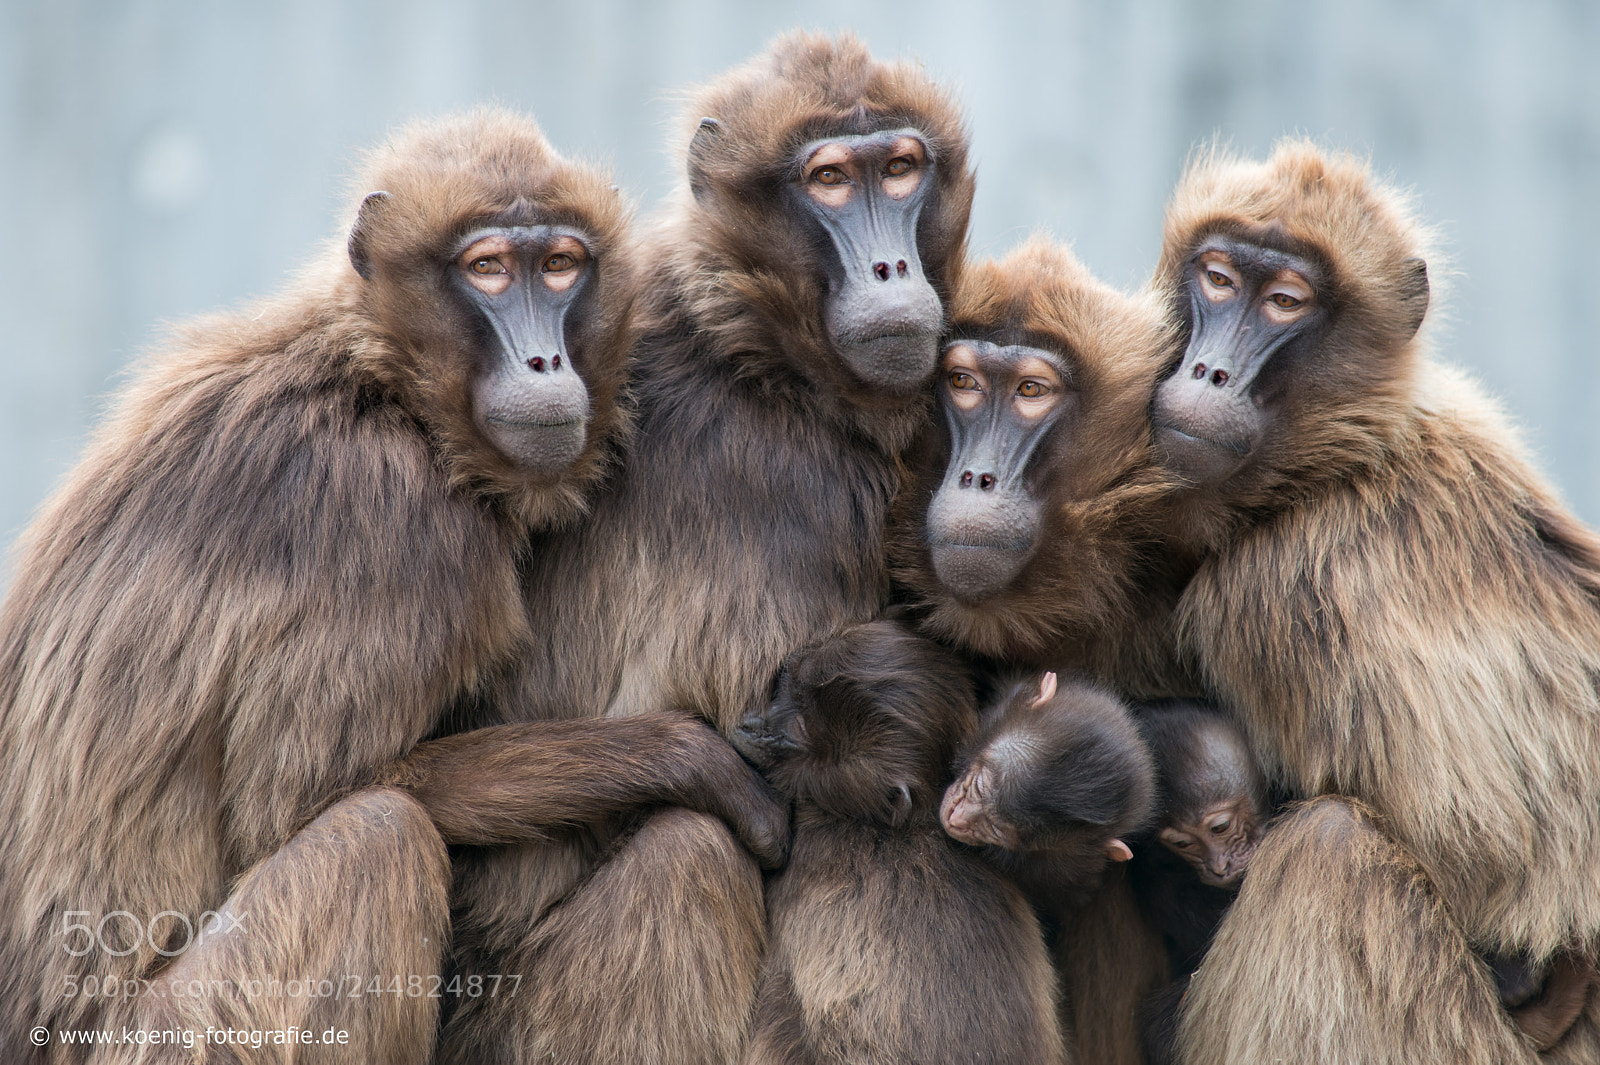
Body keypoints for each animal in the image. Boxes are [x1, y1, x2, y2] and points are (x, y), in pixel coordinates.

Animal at [0, 110, 790, 1065]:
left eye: (561, 264)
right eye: (488, 269)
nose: (545, 359)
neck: (380, 383)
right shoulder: (400, 526)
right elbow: (298, 805)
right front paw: (686, 756)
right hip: (175, 1035)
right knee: (379, 837)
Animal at [1145, 141, 1600, 1064]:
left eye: (1284, 302)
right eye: (1217, 278)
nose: (1208, 370)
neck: (1337, 460)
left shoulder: (1278, 593)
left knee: (1329, 851)